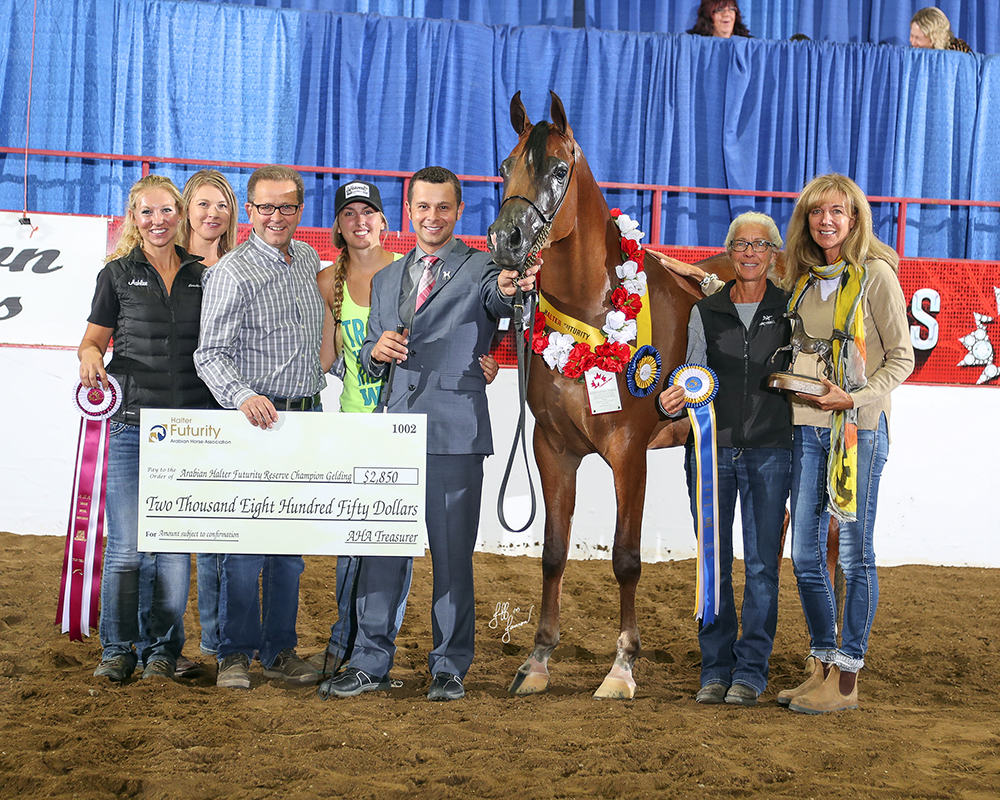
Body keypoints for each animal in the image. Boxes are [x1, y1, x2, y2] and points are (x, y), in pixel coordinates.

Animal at [487, 91, 734, 698]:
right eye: (505, 166)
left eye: (558, 169)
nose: (506, 241)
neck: (593, 314)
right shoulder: (553, 451)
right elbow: (553, 552)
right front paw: (537, 661)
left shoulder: (628, 454)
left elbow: (625, 558)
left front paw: (622, 667)